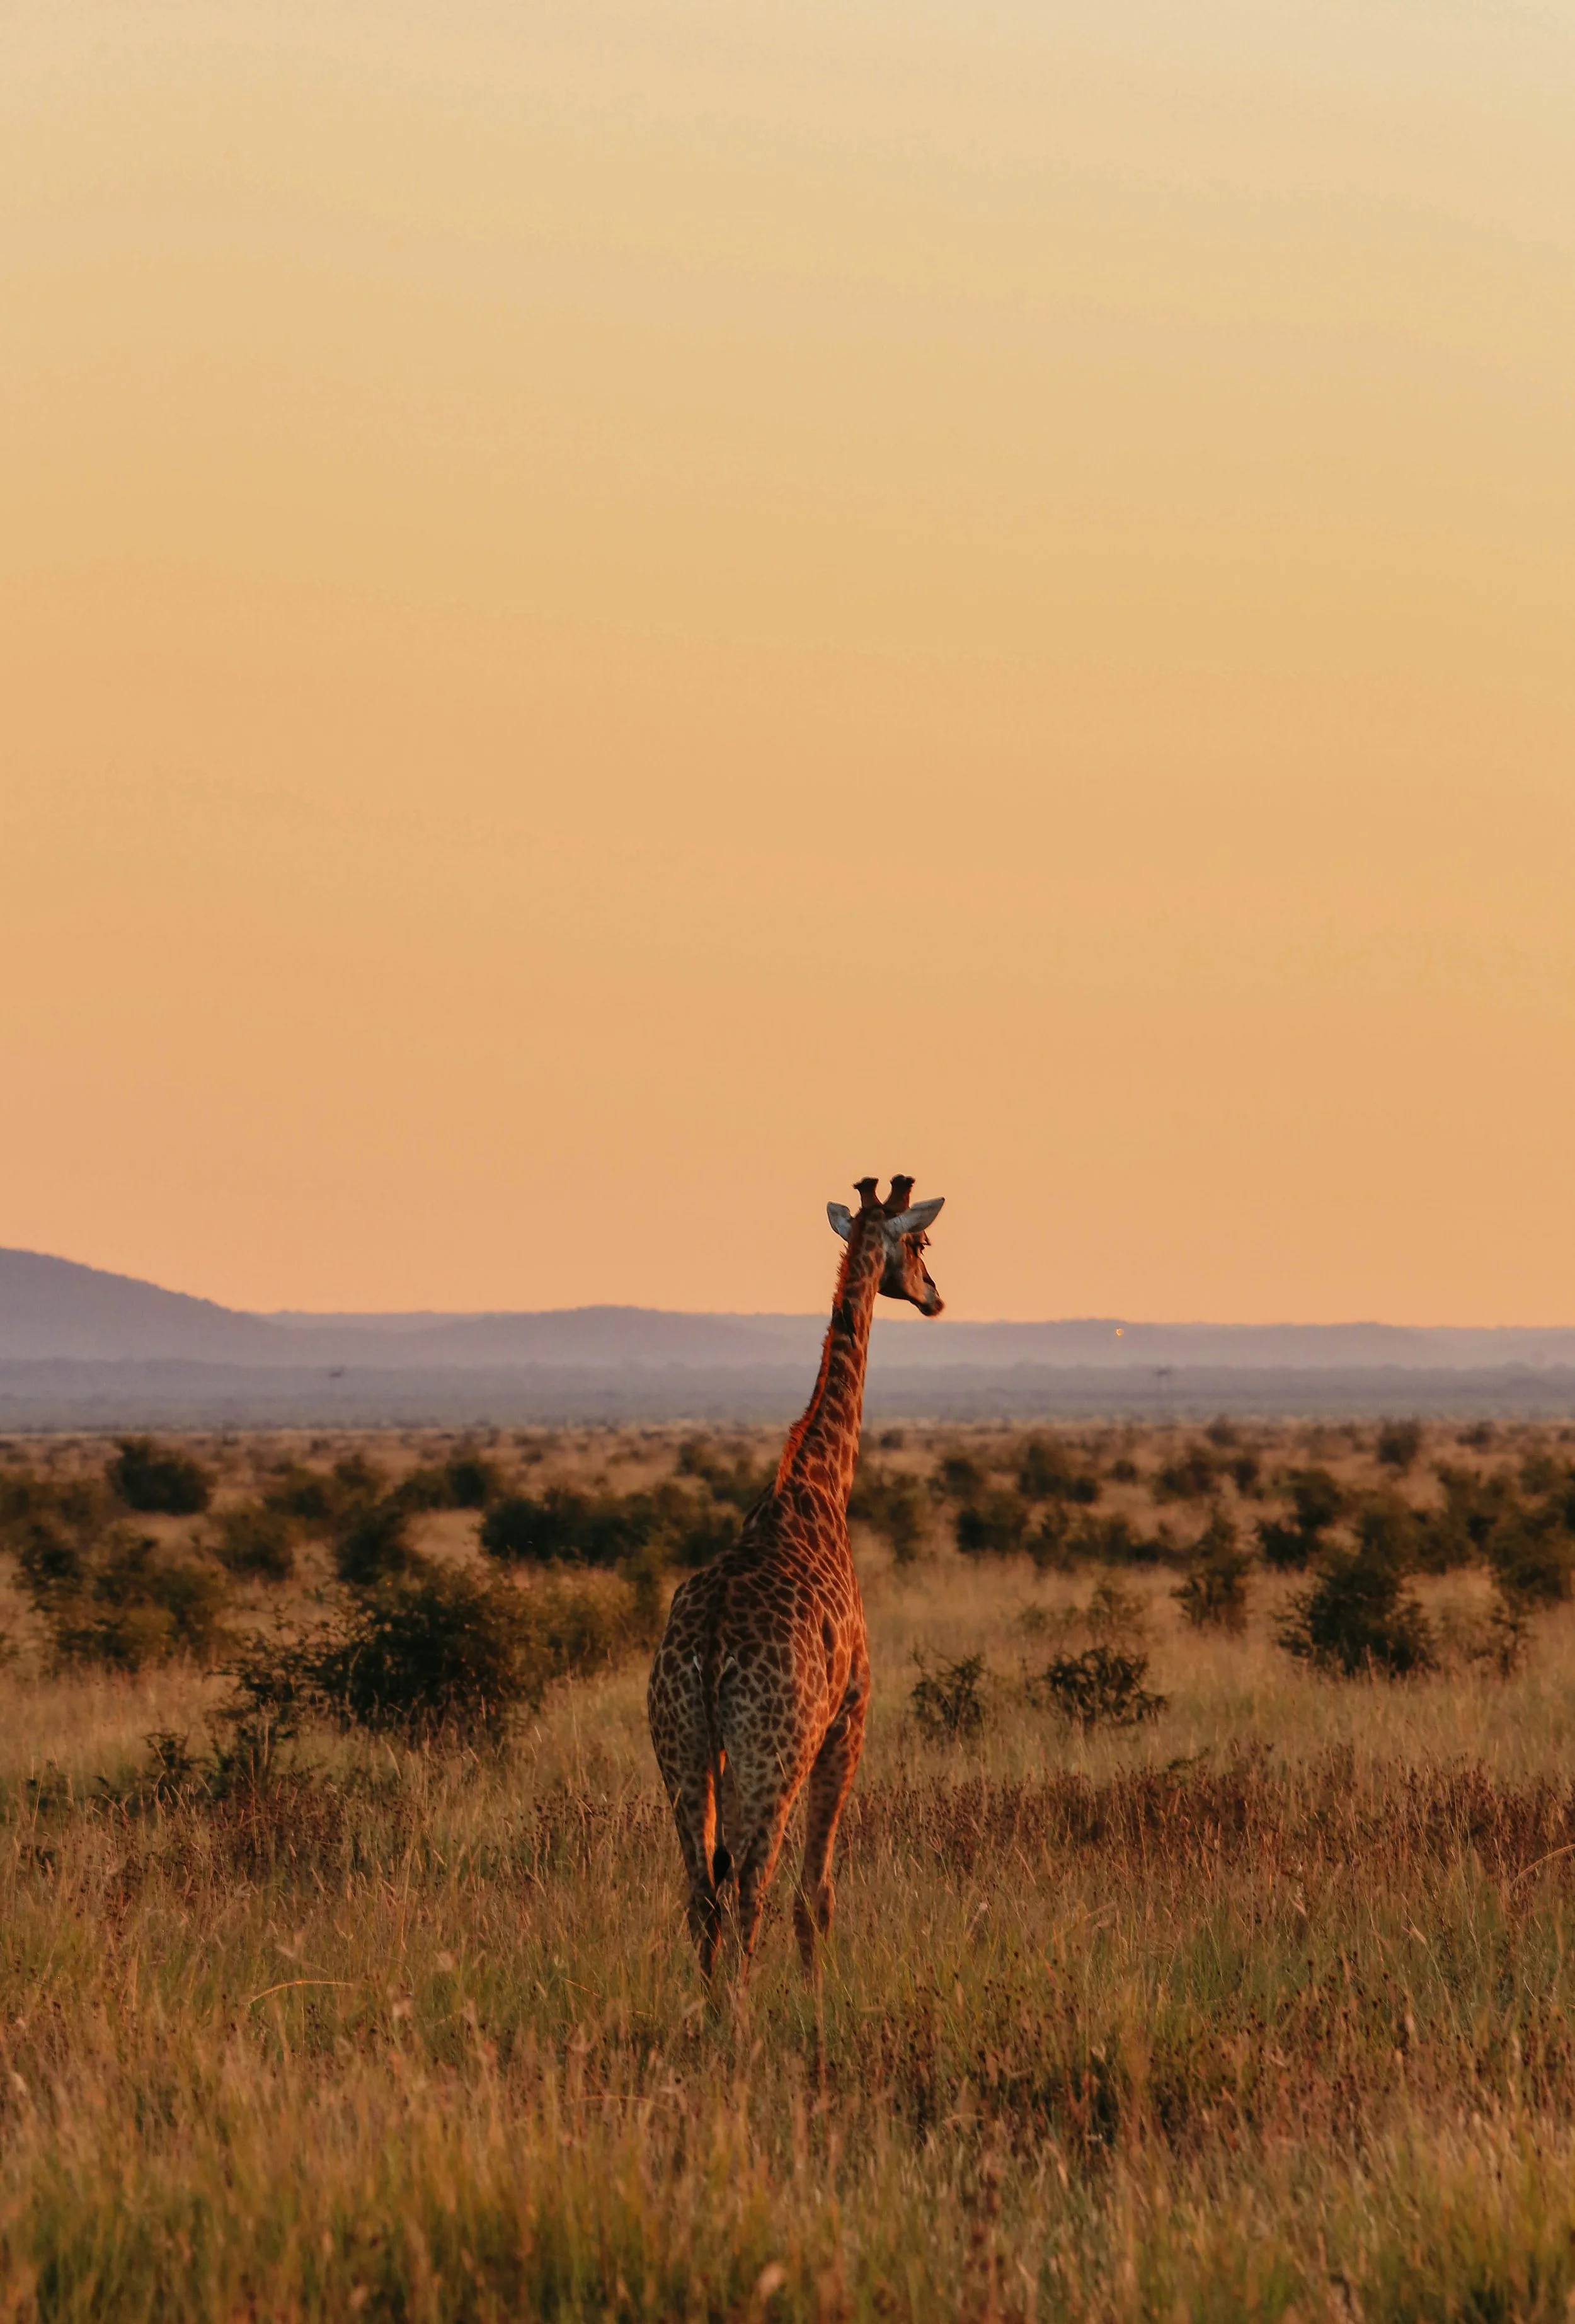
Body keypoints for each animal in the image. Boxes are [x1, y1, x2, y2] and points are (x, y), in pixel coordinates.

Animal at [646, 1175, 945, 1978]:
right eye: (920, 1241)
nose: (935, 1296)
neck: (817, 1488)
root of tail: (710, 1646)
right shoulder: (851, 1715)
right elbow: (818, 1891)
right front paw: (820, 1992)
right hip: (770, 1753)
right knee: (750, 1885)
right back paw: (743, 2007)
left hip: (681, 1746)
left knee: (699, 1890)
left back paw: (708, 2000)